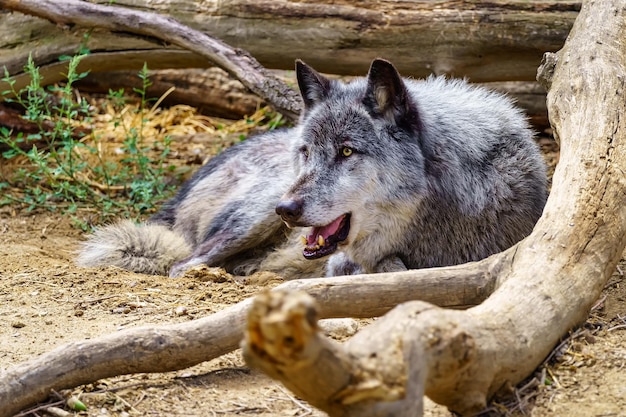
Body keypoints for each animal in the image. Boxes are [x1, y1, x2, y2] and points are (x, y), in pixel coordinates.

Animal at [77, 58, 544, 278]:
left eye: (347, 152)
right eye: (307, 152)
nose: (287, 211)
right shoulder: (346, 261)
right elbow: (386, 268)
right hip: (254, 214)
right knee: (184, 263)